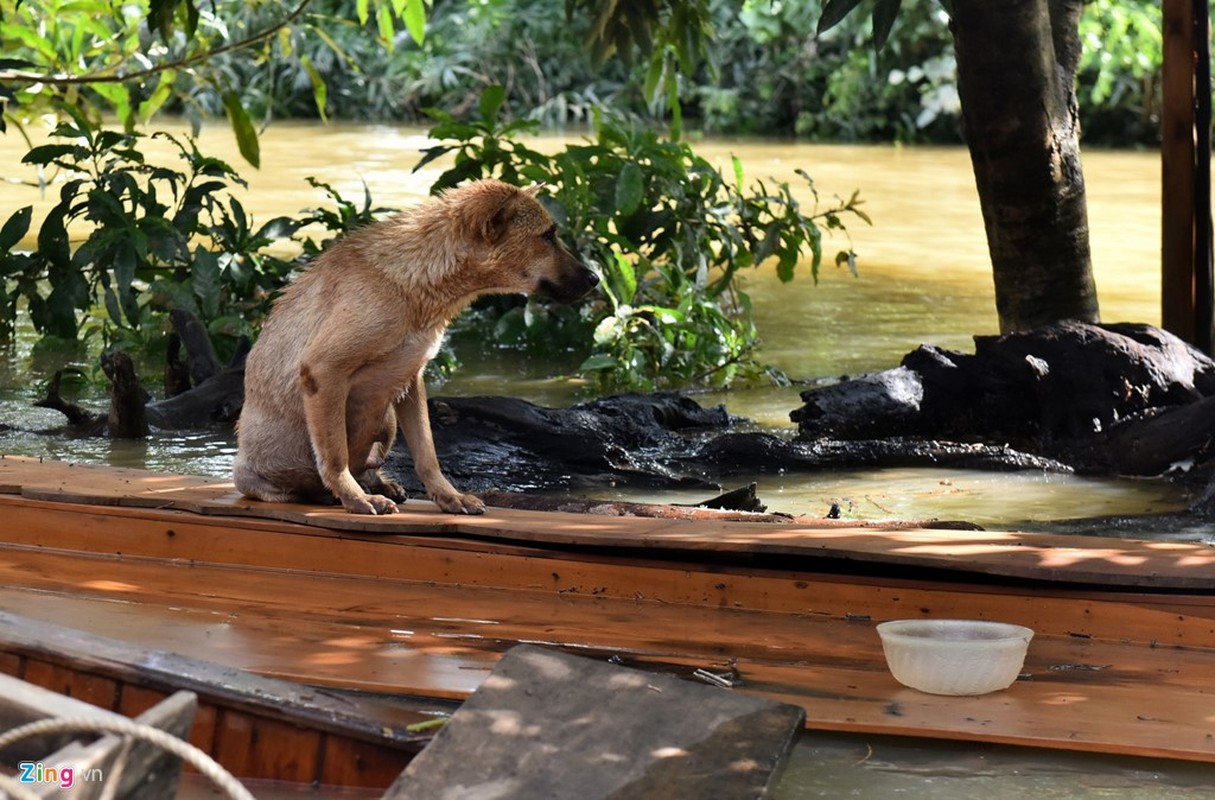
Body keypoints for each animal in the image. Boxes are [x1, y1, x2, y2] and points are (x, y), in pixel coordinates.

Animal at [232, 179, 597, 513]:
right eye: (547, 236)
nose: (596, 280)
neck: (416, 283)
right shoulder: (322, 371)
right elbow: (335, 457)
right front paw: (357, 499)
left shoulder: (411, 379)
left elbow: (427, 453)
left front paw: (449, 497)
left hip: (387, 418)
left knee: (368, 465)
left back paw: (381, 485)